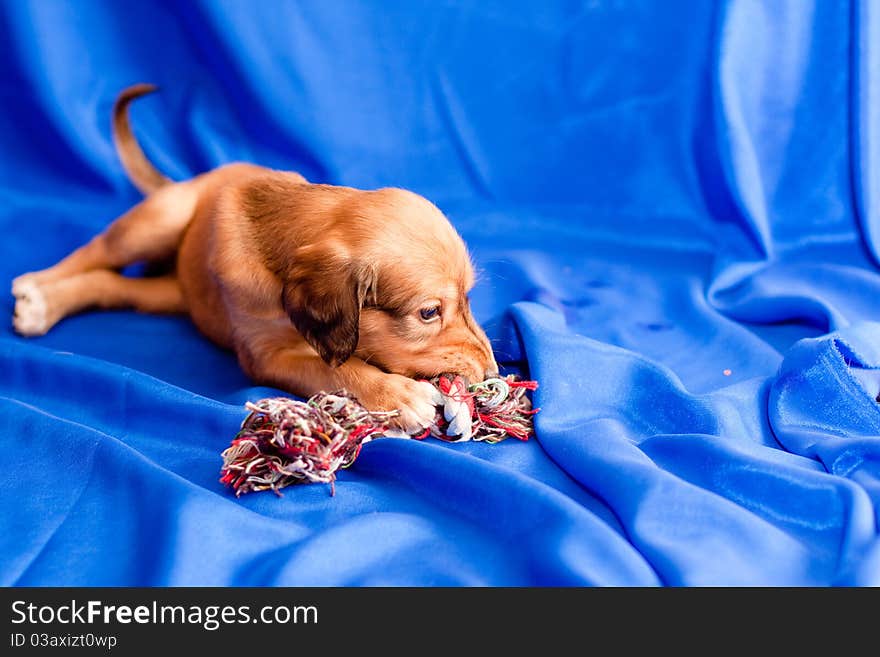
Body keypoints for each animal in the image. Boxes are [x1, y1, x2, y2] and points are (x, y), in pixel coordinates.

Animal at [12, 83, 496, 430]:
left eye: (468, 298)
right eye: (428, 312)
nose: (492, 371)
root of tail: (194, 179)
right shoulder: (266, 356)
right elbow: (339, 368)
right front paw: (398, 395)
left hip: (176, 295)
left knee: (116, 286)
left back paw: (46, 305)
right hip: (160, 220)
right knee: (95, 249)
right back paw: (35, 287)